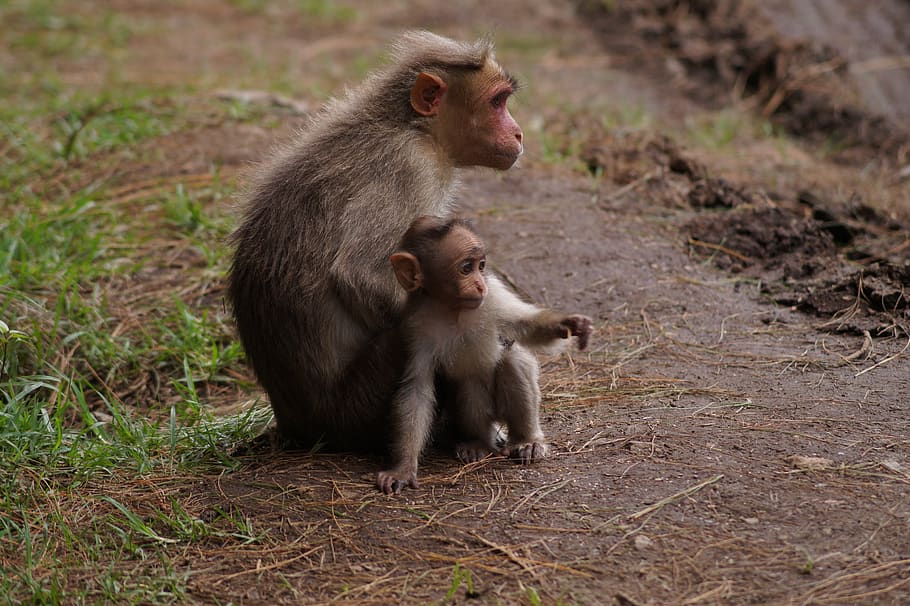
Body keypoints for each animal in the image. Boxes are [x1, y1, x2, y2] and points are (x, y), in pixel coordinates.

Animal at [228, 31, 528, 451]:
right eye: (496, 102)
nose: (518, 133)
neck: (416, 128)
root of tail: (297, 424)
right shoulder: (410, 167)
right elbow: (359, 273)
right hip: (358, 407)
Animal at [376, 216, 592, 494]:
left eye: (482, 266)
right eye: (466, 268)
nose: (480, 284)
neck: (453, 310)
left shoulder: (494, 296)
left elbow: (526, 325)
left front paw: (571, 325)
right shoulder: (415, 327)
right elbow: (417, 389)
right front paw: (403, 467)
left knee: (511, 362)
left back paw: (527, 441)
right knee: (469, 383)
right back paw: (477, 442)